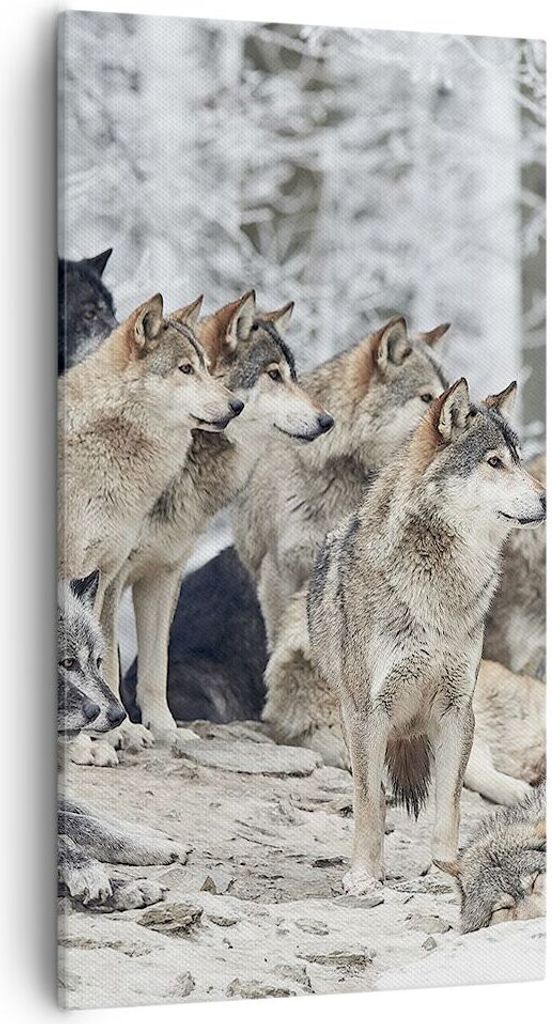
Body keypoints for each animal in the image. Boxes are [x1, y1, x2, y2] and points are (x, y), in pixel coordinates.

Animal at [58, 573, 185, 908]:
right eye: (67, 663)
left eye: (98, 661)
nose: (117, 716)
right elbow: (77, 830)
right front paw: (89, 872)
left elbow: (91, 815)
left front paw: (150, 838)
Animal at [101, 291, 332, 752]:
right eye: (273, 375)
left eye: (294, 375)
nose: (326, 421)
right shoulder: (111, 574)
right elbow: (109, 662)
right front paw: (122, 730)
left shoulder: (164, 573)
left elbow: (155, 668)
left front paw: (166, 729)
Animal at [308, 378, 545, 894]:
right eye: (494, 462)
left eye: (519, 459)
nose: (545, 500)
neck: (437, 586)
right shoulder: (368, 714)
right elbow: (370, 803)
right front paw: (364, 876)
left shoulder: (458, 711)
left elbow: (448, 806)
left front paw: (442, 871)